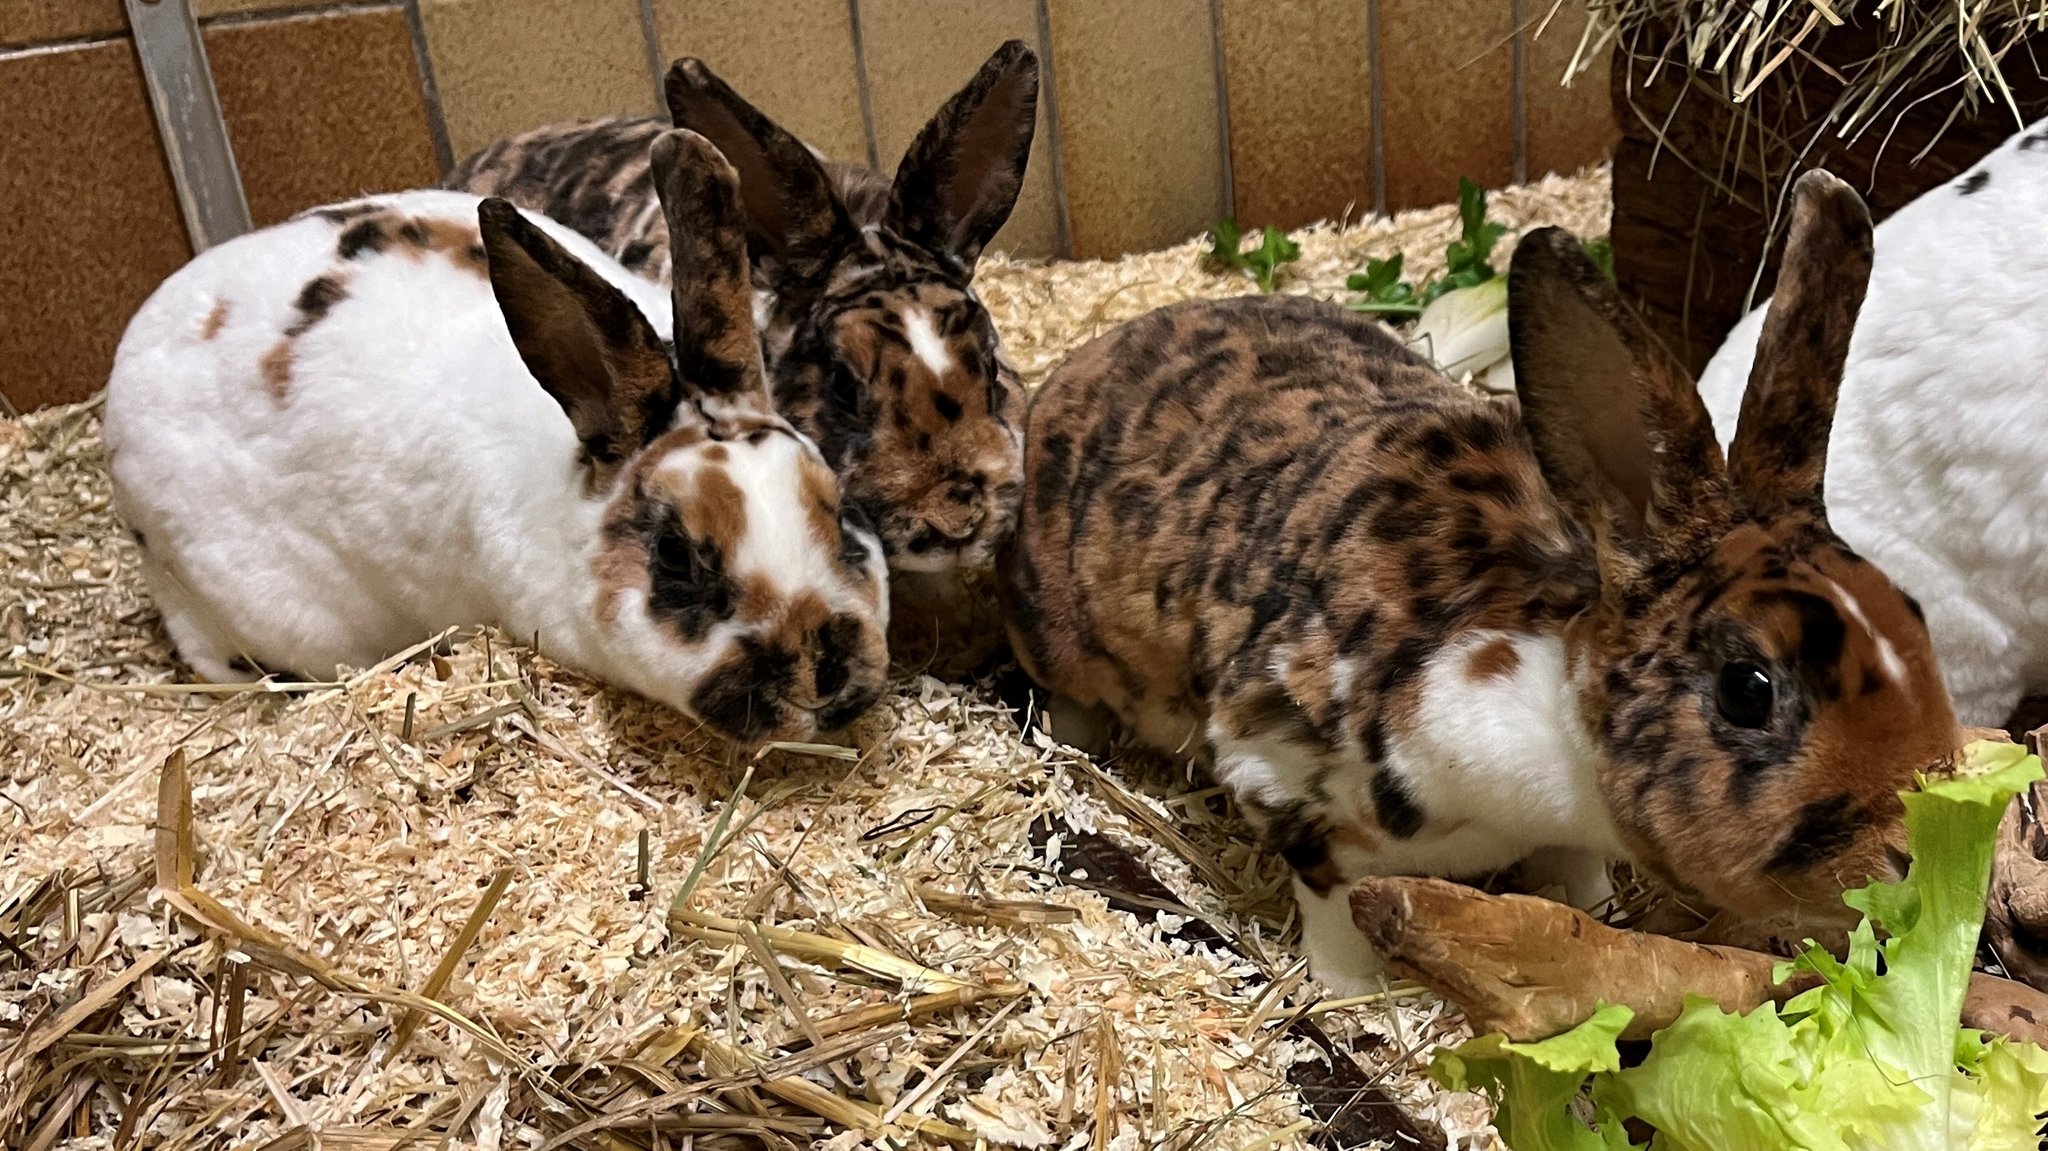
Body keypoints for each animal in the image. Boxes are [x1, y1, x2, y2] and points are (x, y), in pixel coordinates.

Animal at [999, 167, 1957, 987]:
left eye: (1913, 612)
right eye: (1749, 689)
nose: (1909, 854)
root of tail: (1076, 368)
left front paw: (1593, 907)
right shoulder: (1285, 776)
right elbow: (1335, 907)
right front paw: (1356, 994)